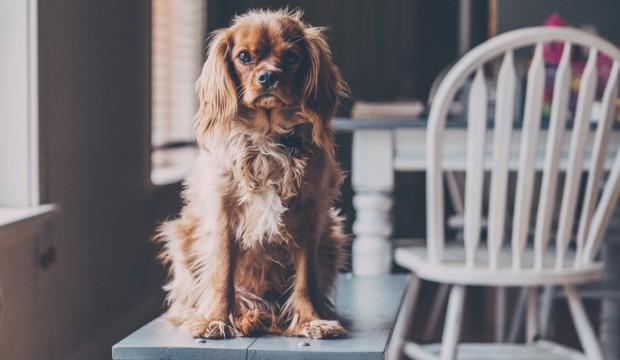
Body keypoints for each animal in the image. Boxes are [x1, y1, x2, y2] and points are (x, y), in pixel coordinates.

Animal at [154, 9, 348, 340]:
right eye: (244, 57)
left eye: (292, 57)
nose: (267, 76)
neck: (267, 135)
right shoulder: (222, 213)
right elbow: (222, 272)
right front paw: (215, 319)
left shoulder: (310, 215)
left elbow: (306, 278)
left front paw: (311, 320)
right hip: (181, 235)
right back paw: (243, 316)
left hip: (332, 236)